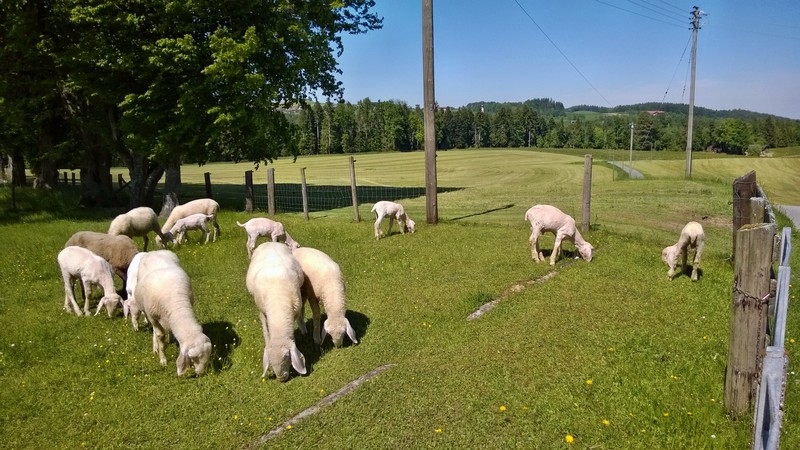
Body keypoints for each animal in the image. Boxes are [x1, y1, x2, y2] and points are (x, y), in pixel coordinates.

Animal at [245, 243, 308, 380]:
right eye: (270, 362)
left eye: (286, 357)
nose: (281, 378)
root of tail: (268, 243)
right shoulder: (262, 311)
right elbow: (265, 330)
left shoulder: (297, 306)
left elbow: (300, 319)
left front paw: (304, 332)